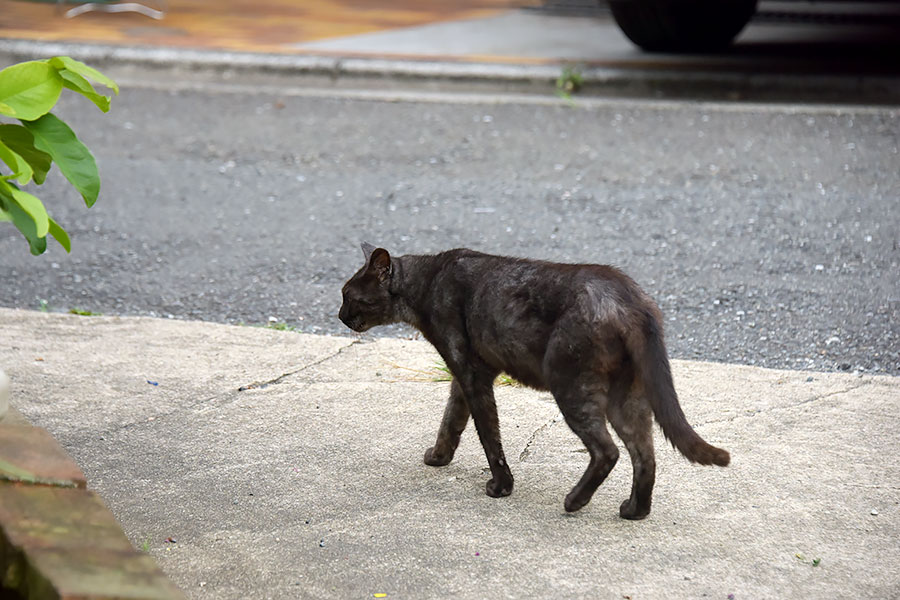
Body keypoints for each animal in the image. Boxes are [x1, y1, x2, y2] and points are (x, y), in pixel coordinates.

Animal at [340, 243, 732, 516]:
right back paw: (634, 511)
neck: (427, 284)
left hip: (571, 386)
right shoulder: (464, 375)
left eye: (349, 296)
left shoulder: (471, 373)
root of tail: (632, 298)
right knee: (645, 454)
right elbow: (451, 419)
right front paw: (438, 456)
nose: (340, 315)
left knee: (608, 450)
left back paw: (574, 501)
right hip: (627, 397)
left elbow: (488, 436)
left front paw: (501, 486)